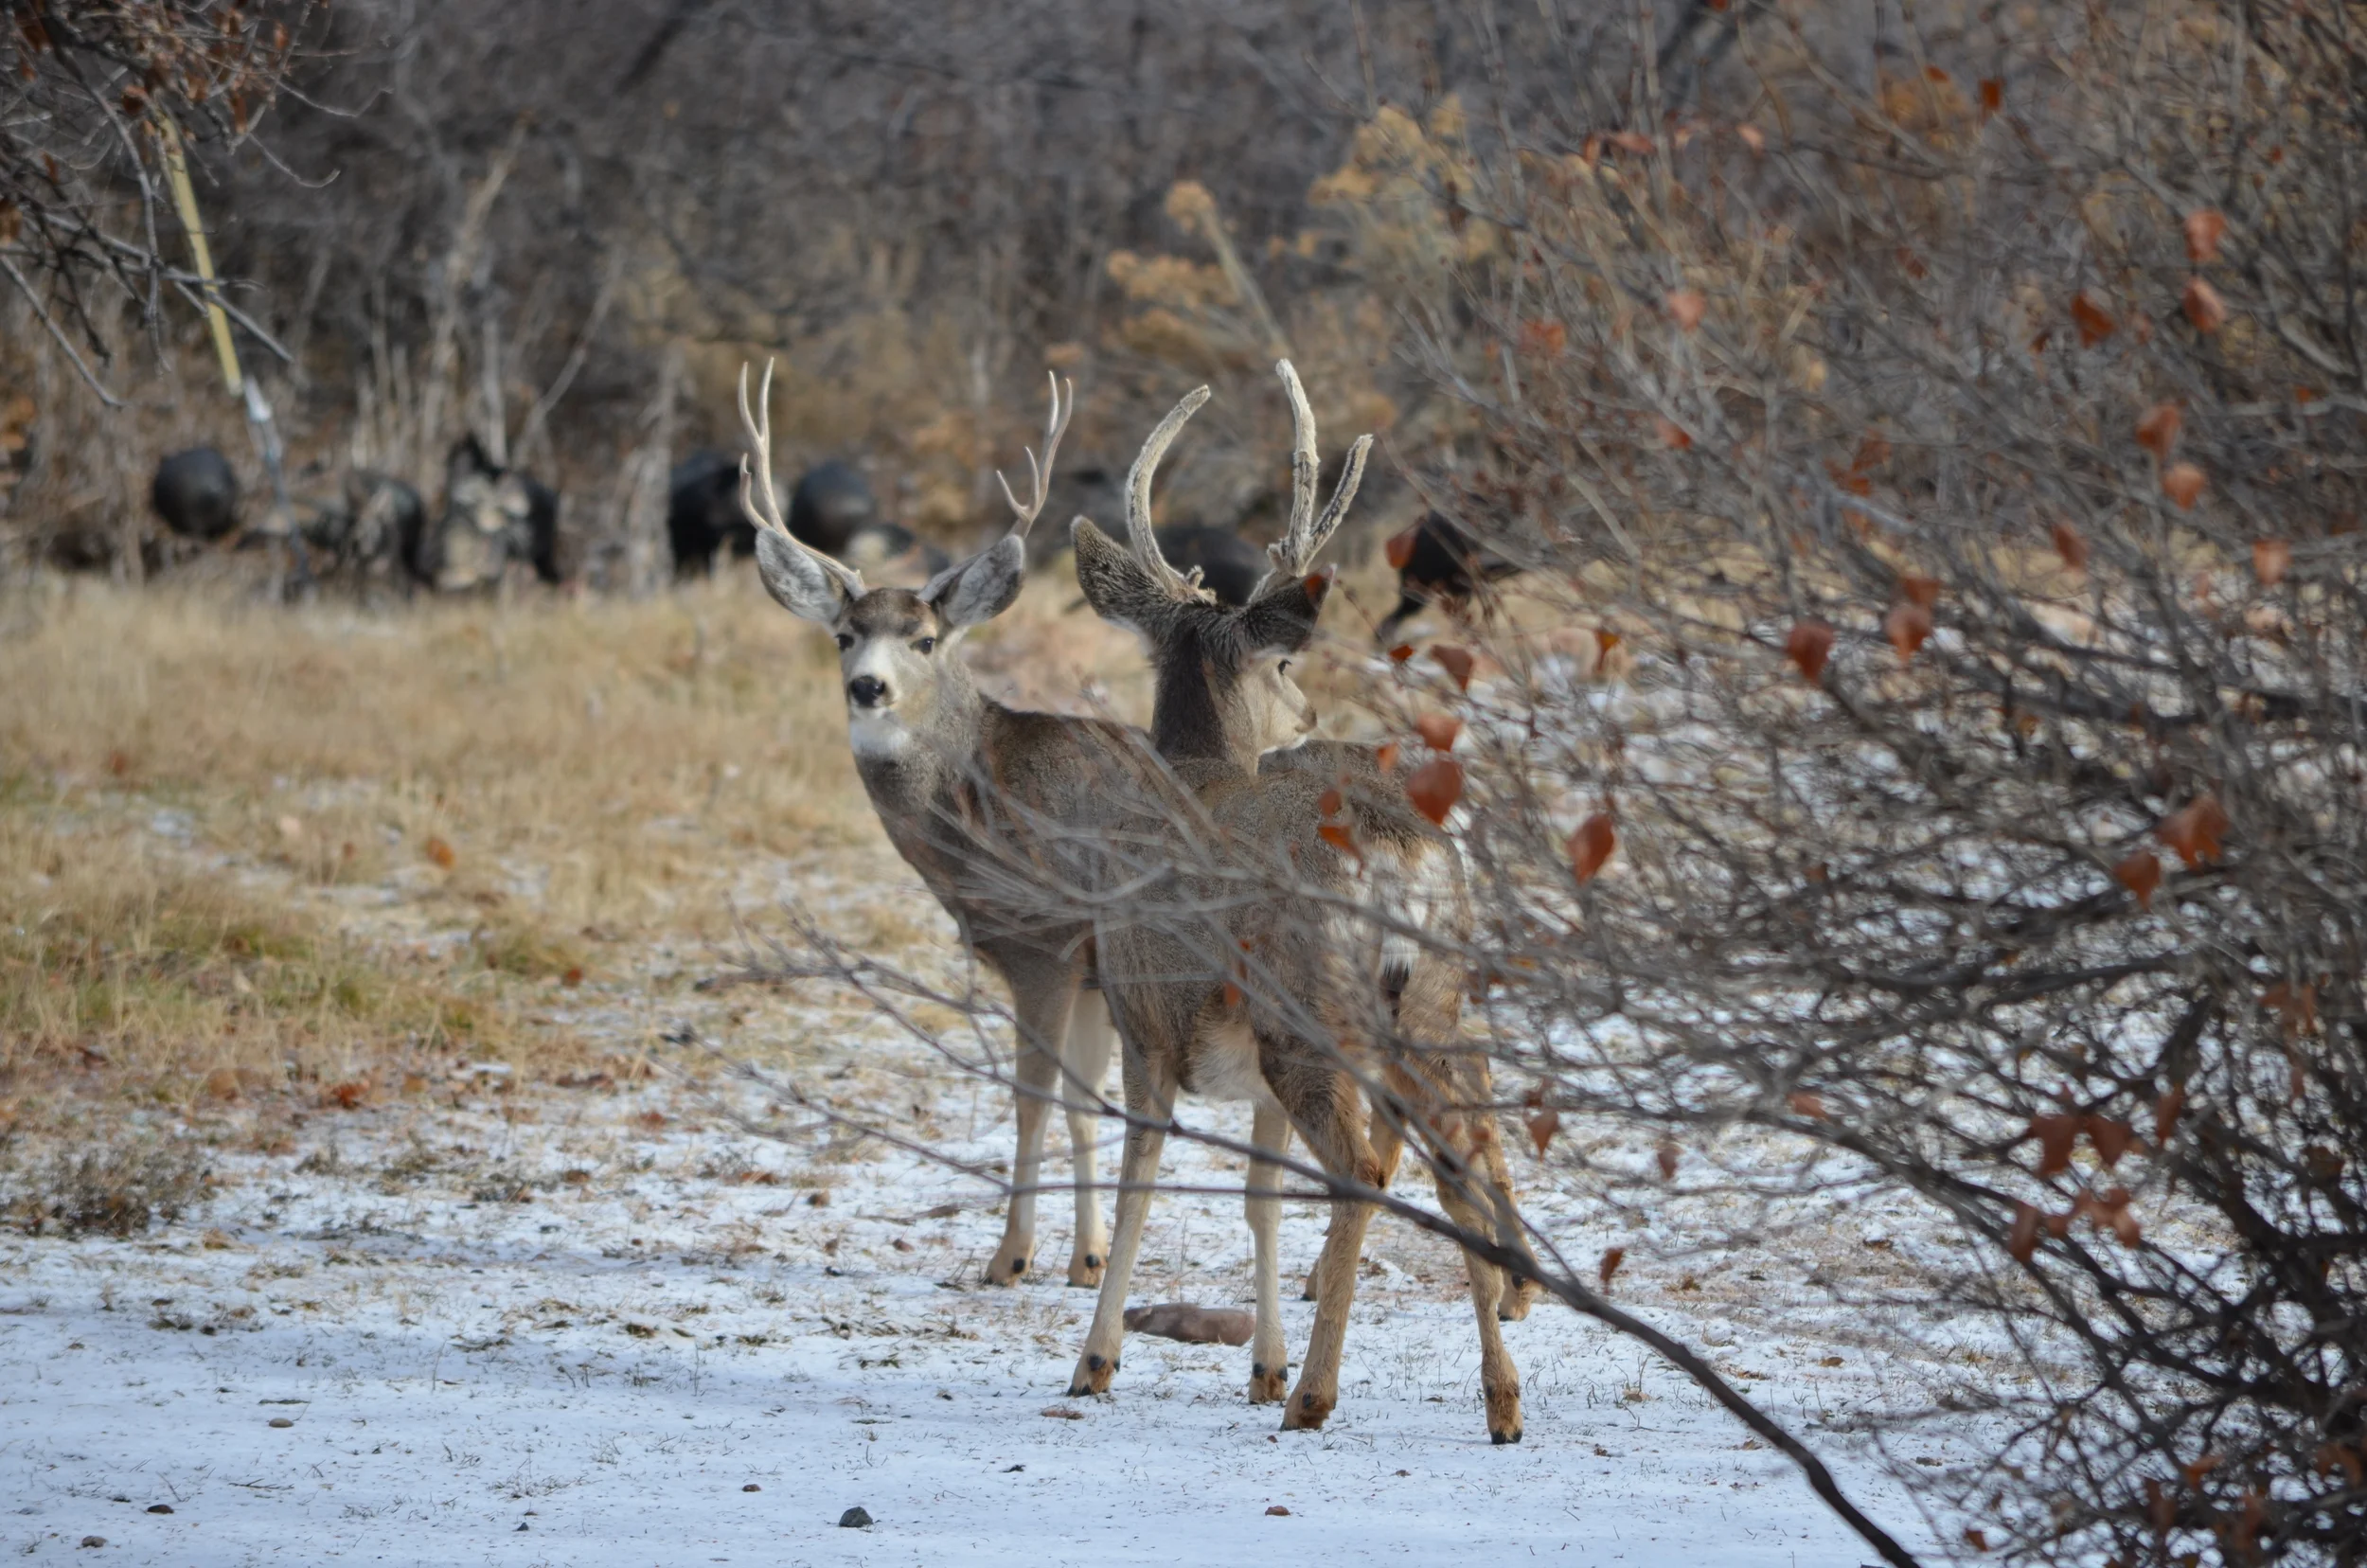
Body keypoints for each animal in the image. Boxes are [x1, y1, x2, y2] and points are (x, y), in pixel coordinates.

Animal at [735, 360, 1126, 1290]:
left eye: (921, 639)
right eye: (843, 635)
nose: (867, 687)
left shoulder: (1045, 942)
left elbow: (1033, 1100)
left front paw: (1010, 1258)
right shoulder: (1091, 970)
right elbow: (1088, 1107)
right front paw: (1087, 1259)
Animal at [1059, 361, 1529, 1442]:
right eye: (1282, 667)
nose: (1309, 713)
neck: (1197, 773)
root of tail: (1396, 850)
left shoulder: (1147, 1020)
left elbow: (1141, 1183)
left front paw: (1095, 1362)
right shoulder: (1244, 1078)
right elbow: (1259, 1198)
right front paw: (1259, 1366)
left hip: (1305, 1013)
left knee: (1366, 1172)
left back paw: (1319, 1394)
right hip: (1423, 1003)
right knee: (1454, 1161)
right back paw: (1499, 1399)